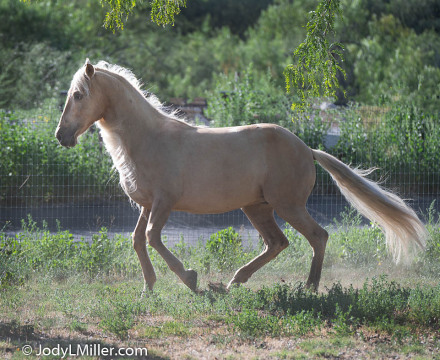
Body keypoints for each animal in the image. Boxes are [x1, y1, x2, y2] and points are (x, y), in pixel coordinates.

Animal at [54, 60, 426, 294]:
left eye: (79, 95)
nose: (62, 136)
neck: (147, 138)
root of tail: (307, 149)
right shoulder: (146, 204)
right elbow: (137, 240)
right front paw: (149, 287)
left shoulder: (164, 203)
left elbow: (152, 238)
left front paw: (190, 279)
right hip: (257, 207)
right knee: (278, 243)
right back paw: (235, 281)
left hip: (287, 205)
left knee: (318, 236)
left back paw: (309, 287)